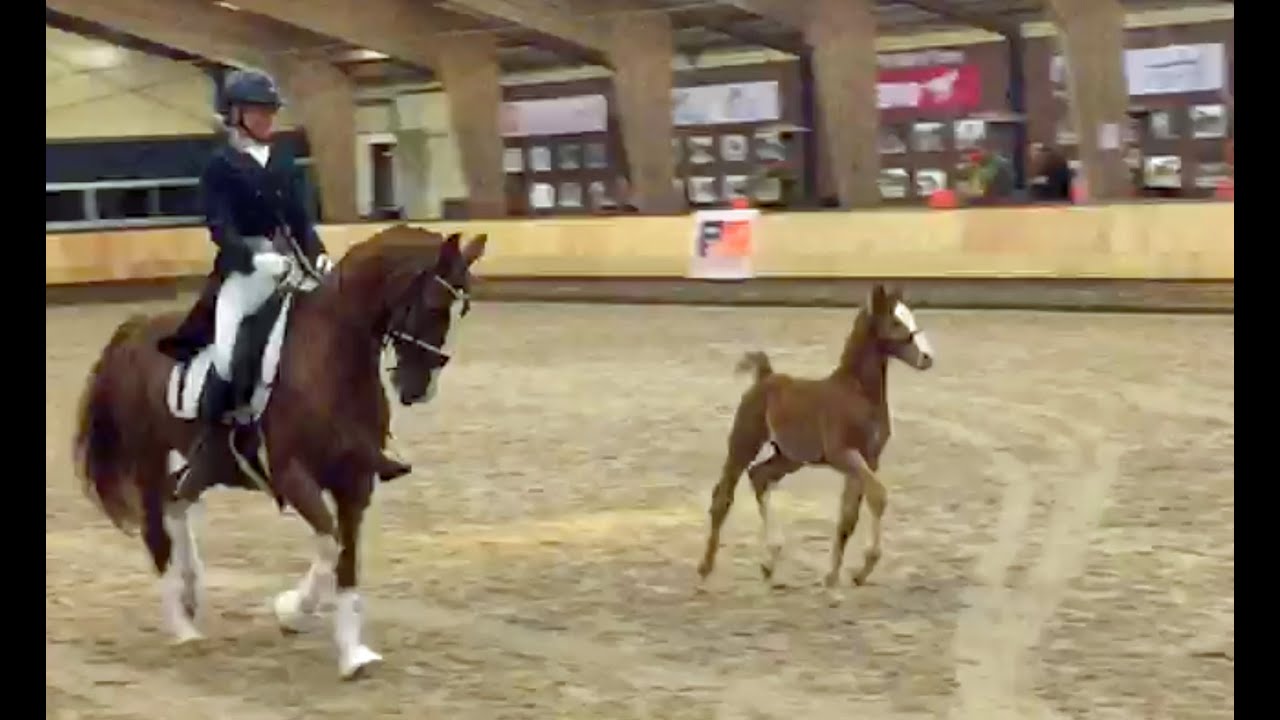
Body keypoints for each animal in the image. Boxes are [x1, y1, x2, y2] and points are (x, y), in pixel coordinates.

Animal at [73, 224, 487, 679]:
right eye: (433, 305)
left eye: (461, 310)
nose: (419, 388)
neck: (330, 359)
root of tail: (134, 331)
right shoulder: (293, 476)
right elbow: (329, 545)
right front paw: (292, 610)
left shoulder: (355, 482)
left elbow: (347, 560)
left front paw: (352, 654)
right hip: (148, 457)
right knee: (155, 528)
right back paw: (183, 627)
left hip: (204, 466)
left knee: (175, 501)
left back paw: (191, 591)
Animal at [697, 284, 934, 591]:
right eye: (895, 322)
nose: (927, 357)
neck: (857, 393)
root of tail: (766, 376)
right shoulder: (844, 454)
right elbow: (878, 496)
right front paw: (862, 568)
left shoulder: (869, 459)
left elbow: (848, 517)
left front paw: (835, 577)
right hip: (744, 442)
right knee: (723, 497)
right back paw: (705, 569)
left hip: (789, 457)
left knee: (759, 476)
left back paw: (769, 561)